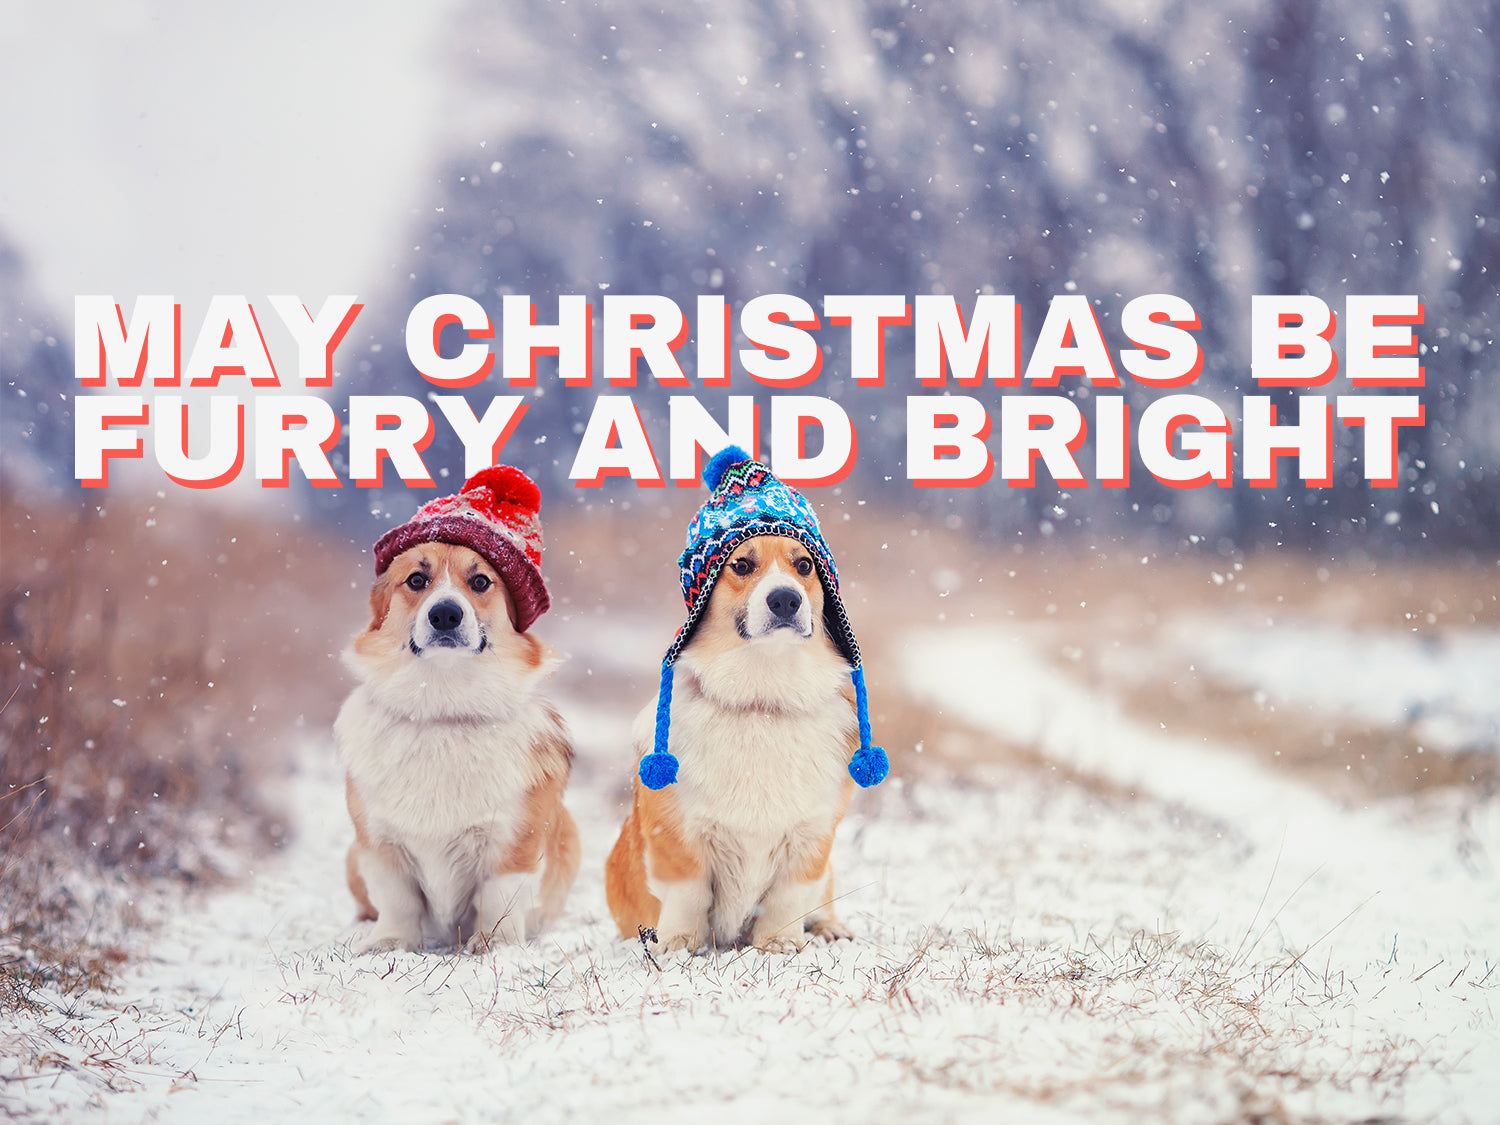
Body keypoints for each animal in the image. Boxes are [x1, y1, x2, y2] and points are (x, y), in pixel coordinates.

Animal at [337, 465, 576, 954]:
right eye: (416, 580)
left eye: (481, 582)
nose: (445, 615)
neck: (442, 708)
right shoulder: (378, 843)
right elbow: (397, 899)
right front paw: (389, 942)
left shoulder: (512, 843)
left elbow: (498, 899)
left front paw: (493, 946)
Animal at [609, 444, 882, 954]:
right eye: (741, 565)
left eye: (803, 566)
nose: (786, 600)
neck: (763, 699)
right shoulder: (678, 834)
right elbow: (689, 894)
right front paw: (678, 944)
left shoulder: (812, 837)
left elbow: (790, 896)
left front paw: (780, 944)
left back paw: (830, 927)